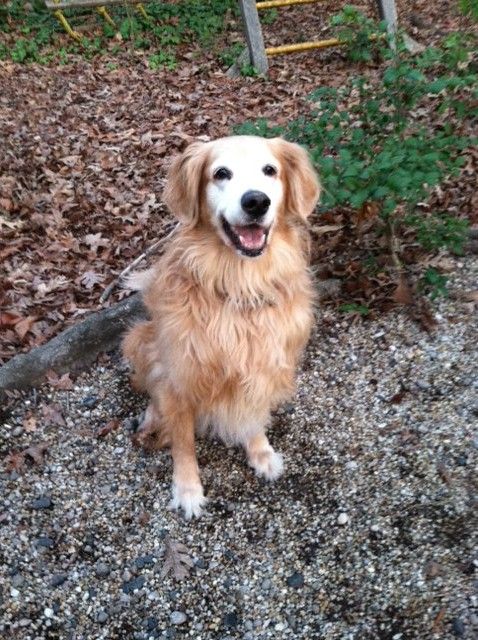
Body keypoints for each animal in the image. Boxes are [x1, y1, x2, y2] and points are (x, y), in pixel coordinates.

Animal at [121, 132, 320, 516]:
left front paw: (260, 451)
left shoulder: (264, 365)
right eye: (221, 173)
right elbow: (183, 440)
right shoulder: (179, 376)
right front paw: (187, 489)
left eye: (270, 170)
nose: (256, 201)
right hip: (139, 339)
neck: (240, 284)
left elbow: (253, 414)